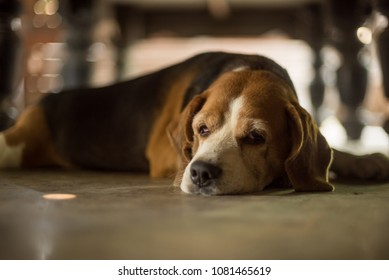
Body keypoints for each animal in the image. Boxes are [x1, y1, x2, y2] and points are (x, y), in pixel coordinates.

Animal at [0, 52, 388, 195]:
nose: (201, 173)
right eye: (202, 129)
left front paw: (366, 161)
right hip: (18, 145)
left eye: (256, 137)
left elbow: (333, 151)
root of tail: (45, 100)